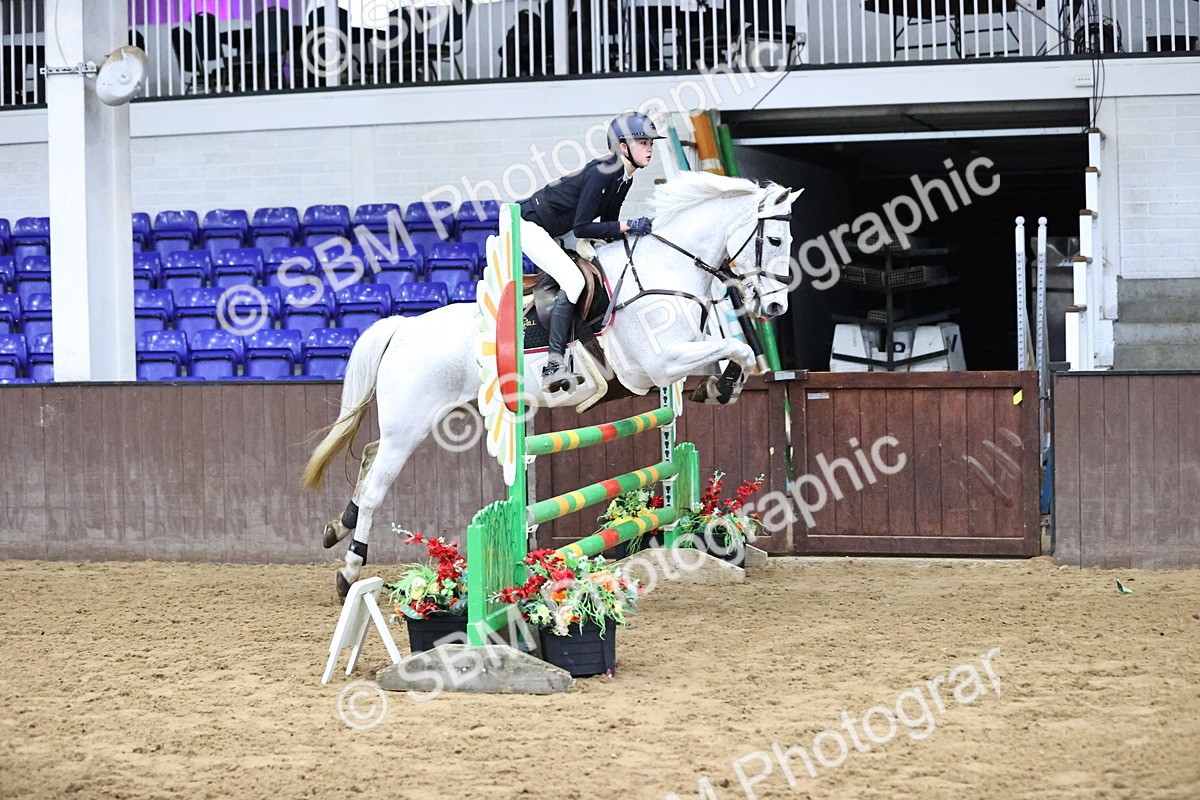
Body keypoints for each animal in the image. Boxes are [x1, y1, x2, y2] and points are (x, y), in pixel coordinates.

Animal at [302, 172, 802, 597]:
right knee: (376, 486)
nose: (776, 308)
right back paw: (349, 571)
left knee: (370, 456)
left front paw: (720, 387)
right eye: (776, 239)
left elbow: (734, 352)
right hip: (411, 422)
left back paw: (336, 527)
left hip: (419, 419)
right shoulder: (659, 365)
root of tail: (403, 328)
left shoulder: (681, 353)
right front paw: (721, 386)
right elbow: (736, 349)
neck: (665, 267)